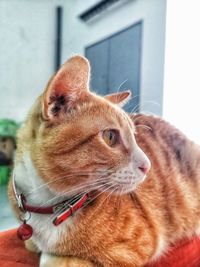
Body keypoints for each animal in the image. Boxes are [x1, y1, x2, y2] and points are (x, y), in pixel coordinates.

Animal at [8, 55, 200, 266]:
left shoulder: (132, 248)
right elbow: (33, 245)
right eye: (110, 136)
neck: (48, 204)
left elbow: (58, 257)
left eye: (135, 137)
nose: (148, 166)